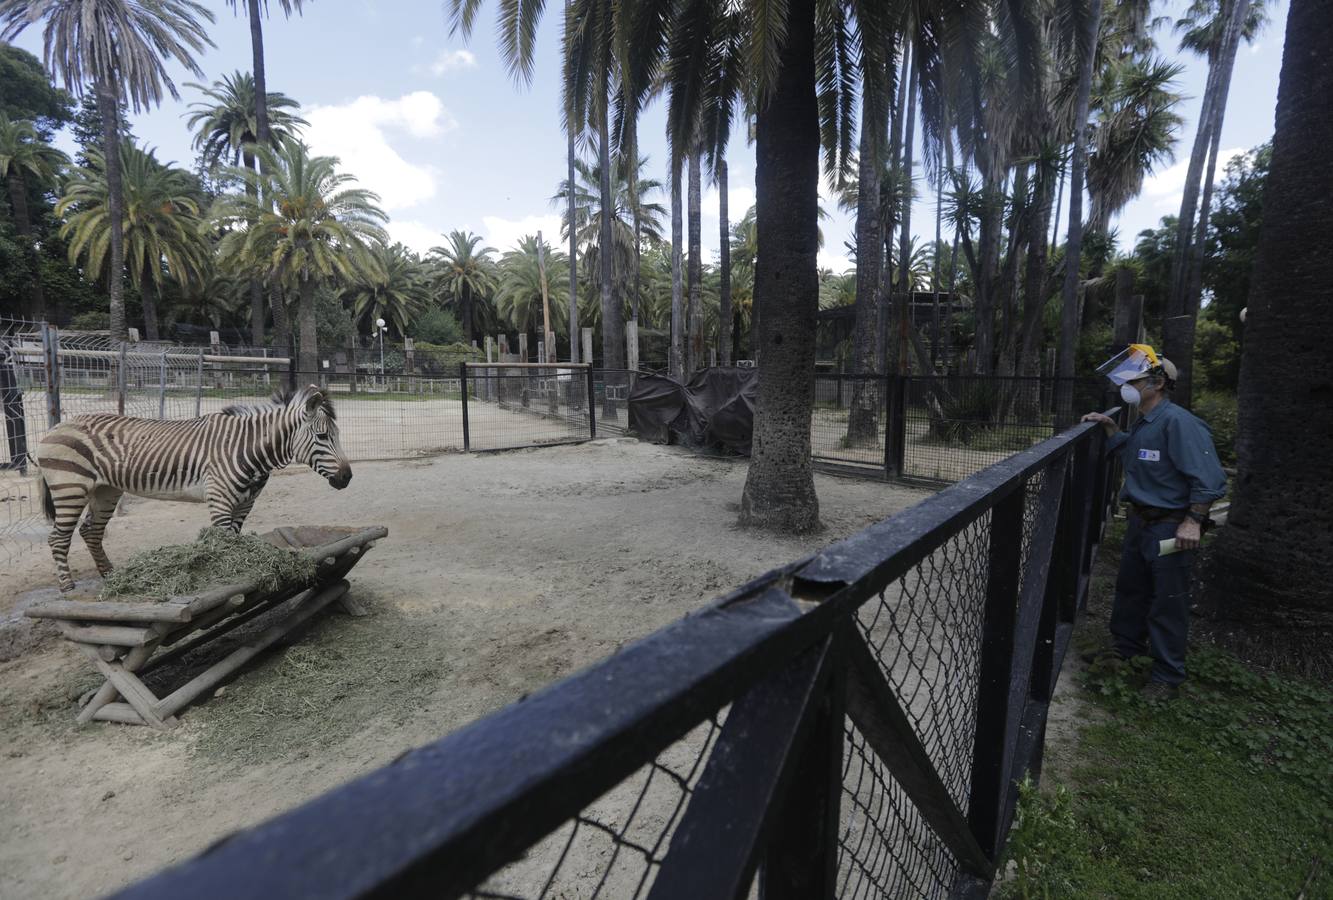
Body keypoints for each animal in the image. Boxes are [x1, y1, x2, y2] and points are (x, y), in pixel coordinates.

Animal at [36, 386, 351, 592]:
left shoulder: (245, 504)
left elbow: (235, 540)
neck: (249, 450)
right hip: (70, 487)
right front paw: (231, 577)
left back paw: (110, 575)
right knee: (58, 538)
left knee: (91, 530)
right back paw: (67, 586)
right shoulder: (220, 500)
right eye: (323, 436)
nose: (347, 477)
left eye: (335, 435)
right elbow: (224, 543)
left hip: (105, 490)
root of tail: (56, 427)